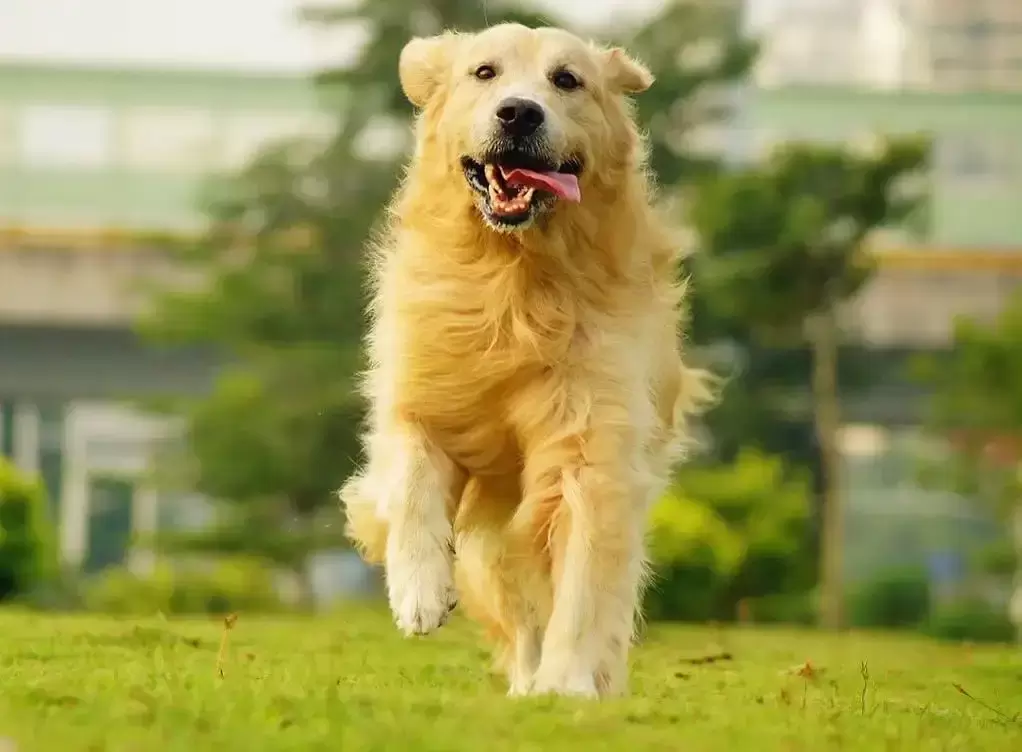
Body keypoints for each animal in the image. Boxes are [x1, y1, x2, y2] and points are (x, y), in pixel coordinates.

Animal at [339, 21, 707, 698]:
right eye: (484, 72)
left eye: (567, 79)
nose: (518, 112)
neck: (515, 277)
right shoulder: (420, 392)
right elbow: (409, 478)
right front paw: (420, 593)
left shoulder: (590, 444)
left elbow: (585, 577)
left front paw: (568, 685)